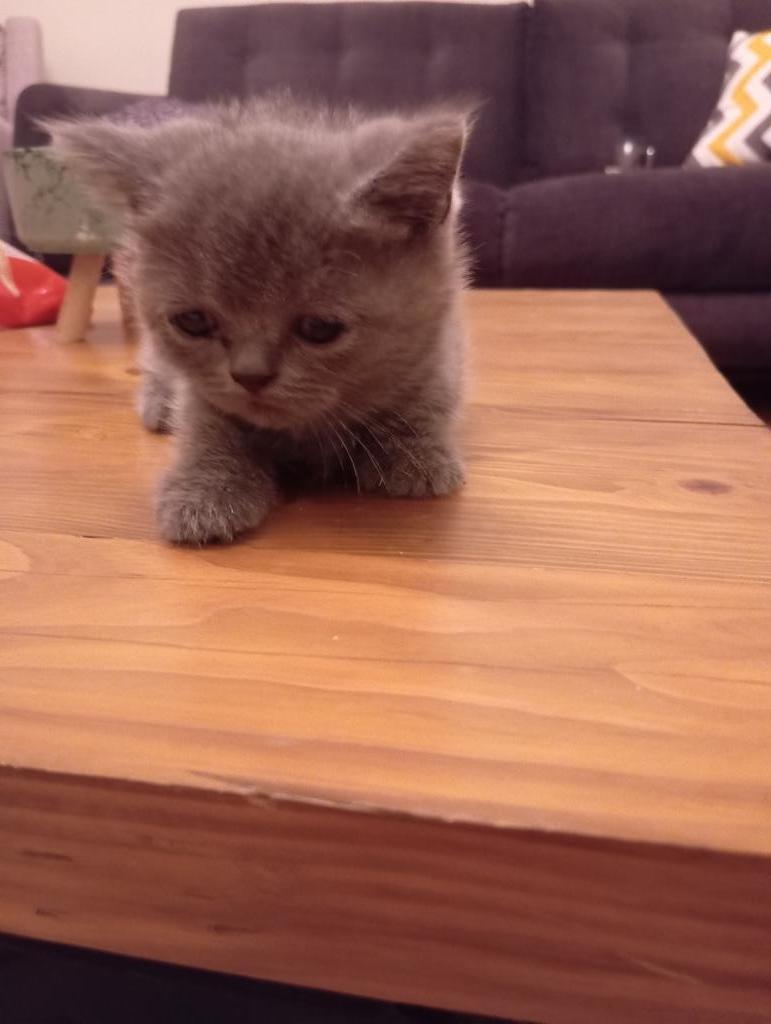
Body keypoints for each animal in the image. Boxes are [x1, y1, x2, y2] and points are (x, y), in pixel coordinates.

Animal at [47, 97, 472, 545]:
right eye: (193, 321)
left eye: (319, 328)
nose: (250, 375)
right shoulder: (203, 390)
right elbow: (206, 421)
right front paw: (204, 489)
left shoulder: (443, 347)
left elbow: (429, 396)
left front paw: (417, 455)